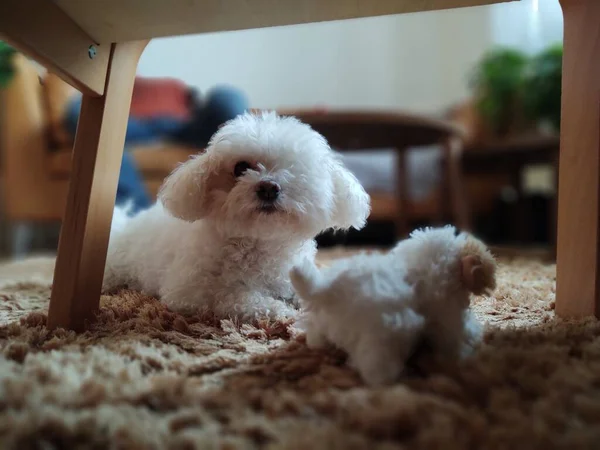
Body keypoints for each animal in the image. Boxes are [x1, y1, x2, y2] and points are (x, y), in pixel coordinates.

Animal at [103, 112, 370, 322]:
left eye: (295, 168)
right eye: (241, 168)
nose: (268, 188)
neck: (259, 243)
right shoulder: (188, 291)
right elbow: (238, 297)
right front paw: (283, 312)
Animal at [290, 227, 496, 384]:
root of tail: (326, 290)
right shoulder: (447, 314)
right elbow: (459, 335)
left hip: (322, 322)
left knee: (316, 337)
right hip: (379, 340)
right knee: (375, 369)